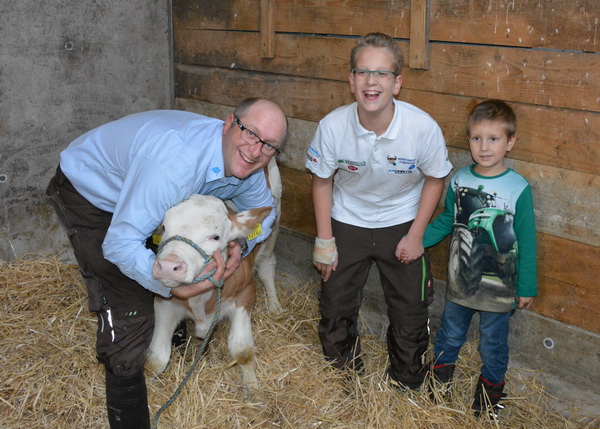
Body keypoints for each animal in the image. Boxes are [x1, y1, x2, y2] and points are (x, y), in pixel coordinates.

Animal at [147, 194, 272, 394]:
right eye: (165, 227)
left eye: (215, 237)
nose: (167, 266)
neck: (200, 302)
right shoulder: (164, 302)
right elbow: (156, 359)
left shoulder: (245, 294)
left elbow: (242, 351)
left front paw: (253, 390)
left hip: (269, 241)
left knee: (267, 267)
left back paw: (276, 305)